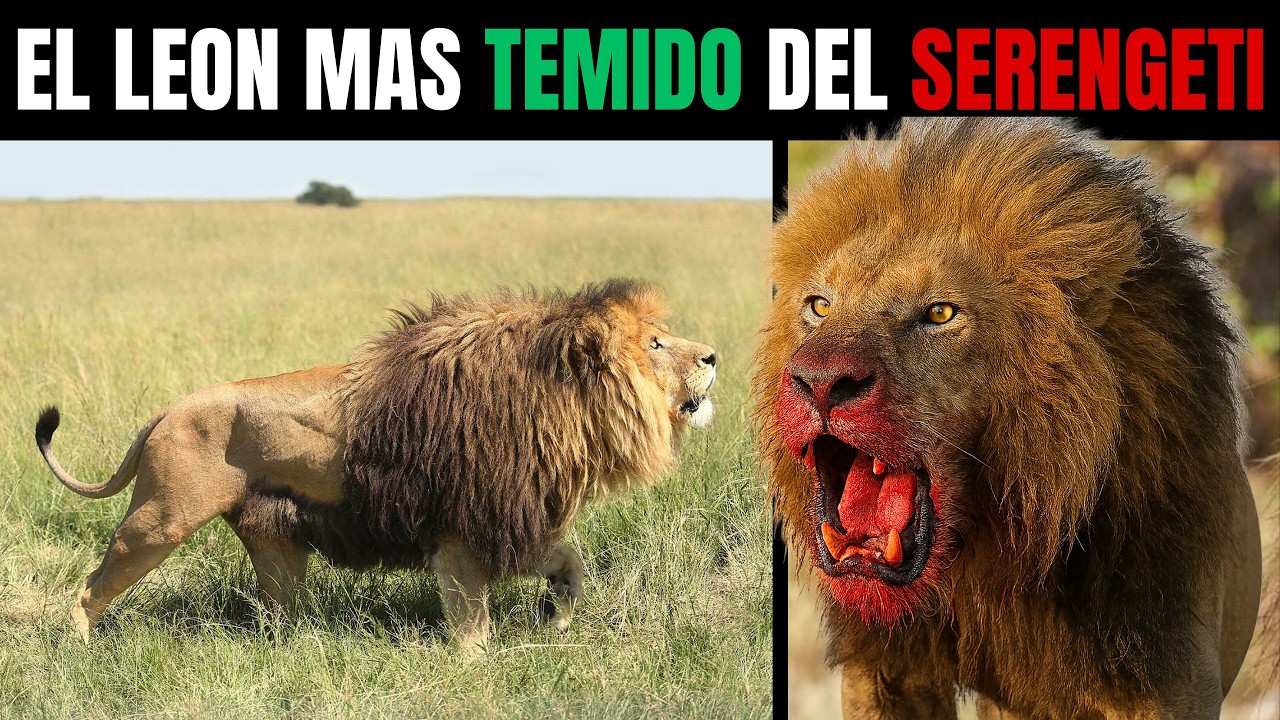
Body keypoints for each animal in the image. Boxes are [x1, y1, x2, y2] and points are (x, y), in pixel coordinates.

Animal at [35, 278, 716, 649]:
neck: (555, 402)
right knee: (93, 585)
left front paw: (558, 618)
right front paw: (473, 665)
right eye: (656, 344)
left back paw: (297, 645)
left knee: (275, 610)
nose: (712, 356)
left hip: (274, 539)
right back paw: (76, 644)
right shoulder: (465, 526)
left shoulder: (510, 518)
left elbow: (570, 563)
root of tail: (166, 410)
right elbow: (470, 613)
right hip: (161, 517)